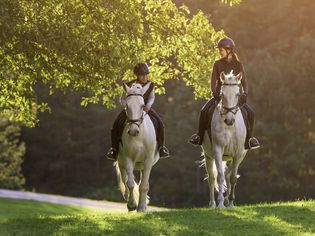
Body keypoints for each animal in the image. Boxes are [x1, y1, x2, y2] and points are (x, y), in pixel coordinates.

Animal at [113, 82, 159, 212]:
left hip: (143, 165)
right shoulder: (127, 159)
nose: (133, 131)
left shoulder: (148, 161)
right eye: (127, 106)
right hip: (121, 162)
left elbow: (144, 186)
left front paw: (141, 208)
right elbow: (130, 183)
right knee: (125, 179)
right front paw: (132, 205)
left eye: (142, 105)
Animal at [204, 70, 248, 208]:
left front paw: (231, 202)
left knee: (229, 174)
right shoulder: (218, 150)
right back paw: (212, 204)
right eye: (221, 94)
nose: (229, 120)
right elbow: (219, 177)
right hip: (208, 156)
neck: (230, 127)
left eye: (238, 94)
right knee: (211, 178)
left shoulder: (238, 154)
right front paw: (221, 204)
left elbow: (233, 178)